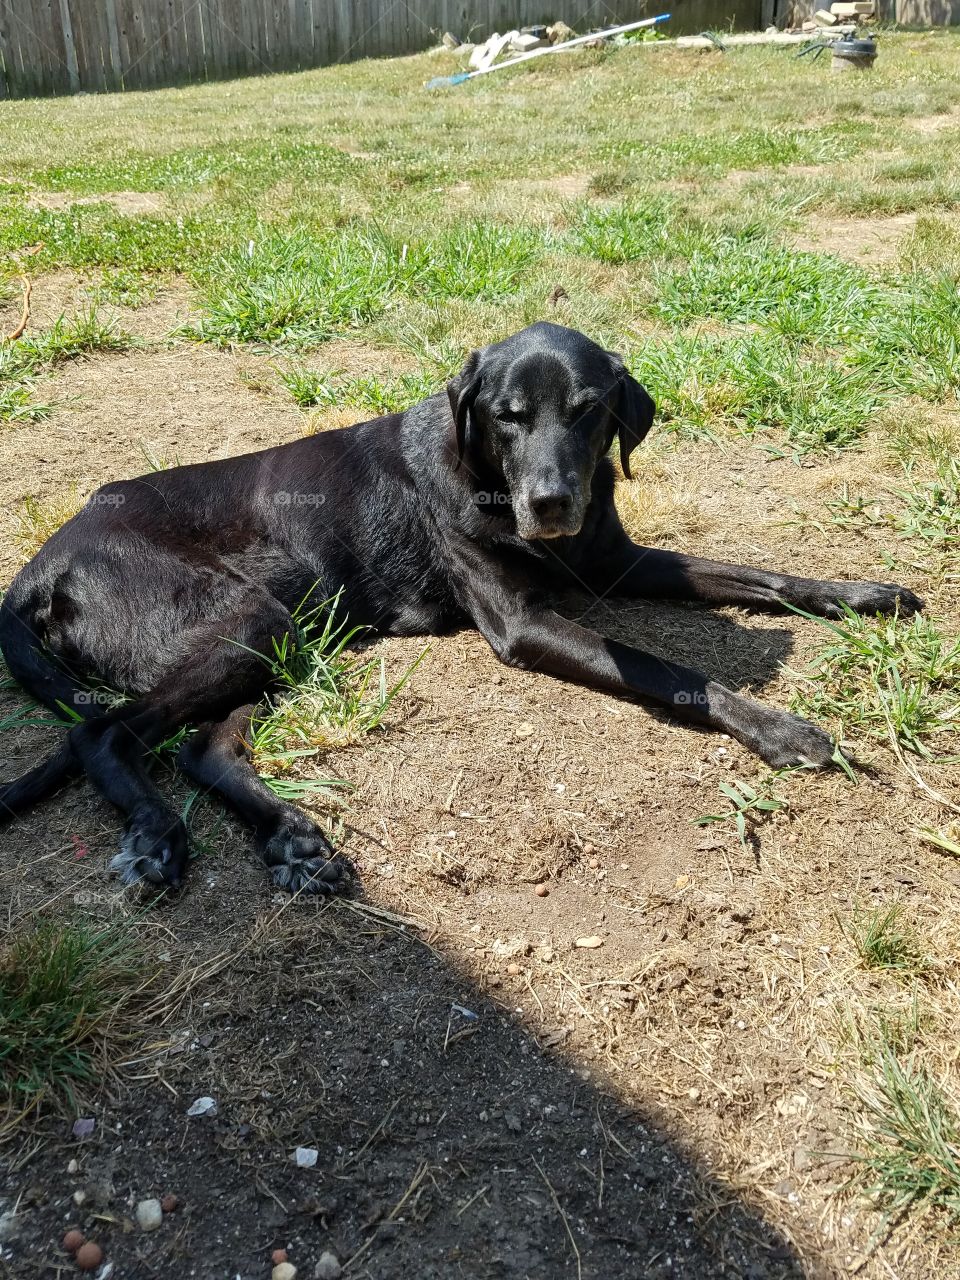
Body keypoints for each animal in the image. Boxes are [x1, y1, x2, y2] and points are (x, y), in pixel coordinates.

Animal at [0, 325, 921, 896]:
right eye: (507, 417)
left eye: (588, 410)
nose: (552, 503)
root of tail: (46, 558)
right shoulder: (524, 625)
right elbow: (674, 672)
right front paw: (780, 729)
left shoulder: (618, 563)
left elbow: (759, 574)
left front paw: (864, 593)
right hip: (253, 622)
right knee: (101, 733)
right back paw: (157, 835)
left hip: (290, 630)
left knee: (200, 747)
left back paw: (293, 842)